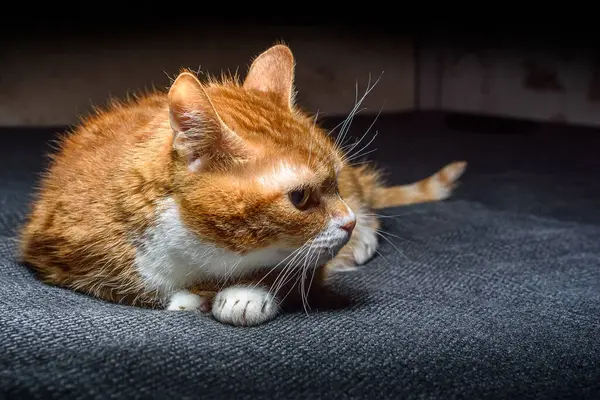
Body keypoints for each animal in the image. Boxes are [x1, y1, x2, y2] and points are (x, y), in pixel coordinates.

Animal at [18, 43, 466, 326]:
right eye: (300, 198)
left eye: (334, 182)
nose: (348, 222)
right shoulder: (58, 249)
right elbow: (137, 285)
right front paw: (188, 298)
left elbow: (290, 271)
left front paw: (246, 294)